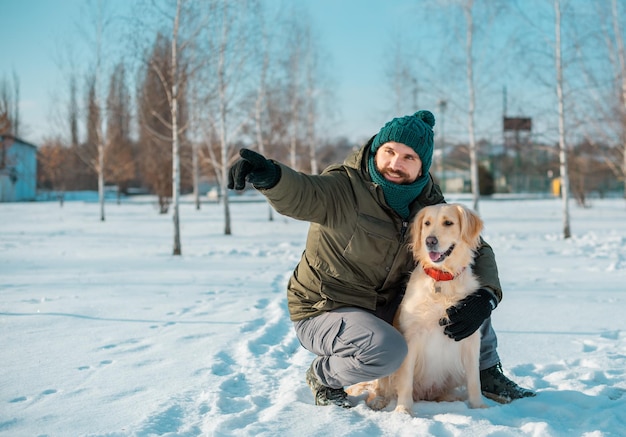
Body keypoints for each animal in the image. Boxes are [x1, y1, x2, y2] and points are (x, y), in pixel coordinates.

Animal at [348, 203, 486, 414]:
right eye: (427, 223)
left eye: (448, 223)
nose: (430, 240)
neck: (441, 278)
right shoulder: (411, 336)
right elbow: (405, 380)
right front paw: (403, 411)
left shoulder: (470, 336)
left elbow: (474, 379)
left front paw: (479, 407)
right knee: (378, 388)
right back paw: (379, 401)